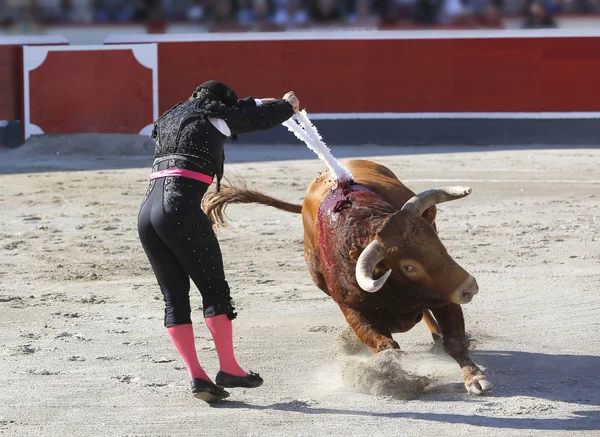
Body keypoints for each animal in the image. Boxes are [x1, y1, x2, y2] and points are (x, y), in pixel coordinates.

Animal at [203, 158, 492, 394]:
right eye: (409, 267)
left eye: (435, 240)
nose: (469, 286)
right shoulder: (354, 312)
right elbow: (388, 348)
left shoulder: (443, 293)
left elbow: (454, 341)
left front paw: (475, 378)